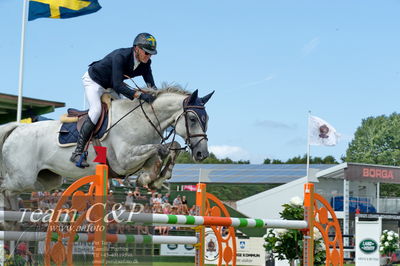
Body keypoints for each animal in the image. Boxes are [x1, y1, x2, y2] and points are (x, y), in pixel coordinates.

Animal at [0, 87, 214, 210]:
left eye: (207, 119)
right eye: (192, 118)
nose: (202, 154)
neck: (141, 119)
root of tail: (16, 128)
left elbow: (170, 148)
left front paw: (153, 179)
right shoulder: (124, 161)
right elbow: (160, 149)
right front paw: (150, 178)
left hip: (46, 180)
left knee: (11, 192)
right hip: (23, 177)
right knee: (4, 187)